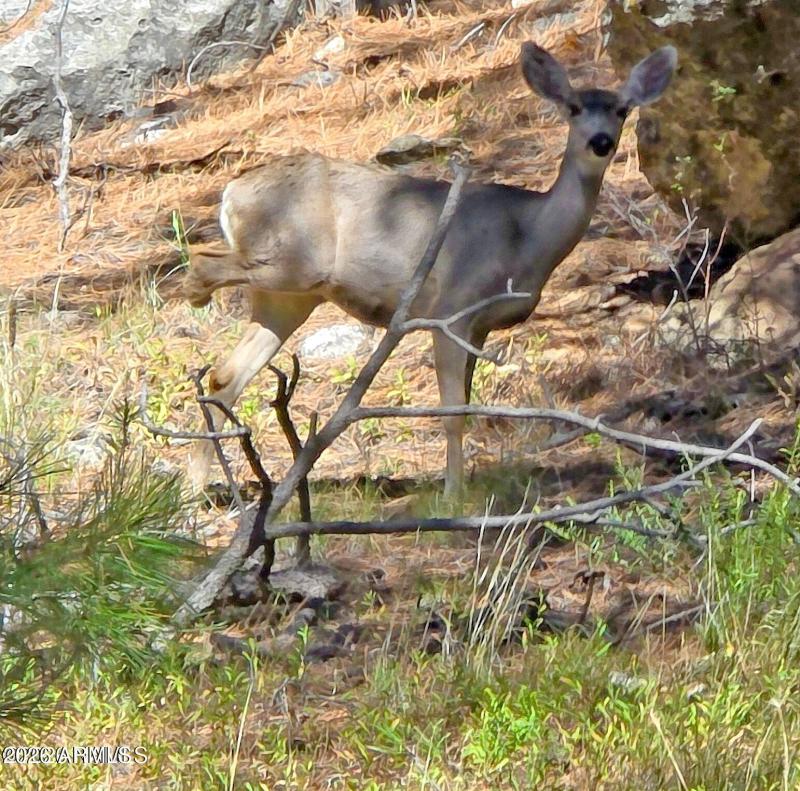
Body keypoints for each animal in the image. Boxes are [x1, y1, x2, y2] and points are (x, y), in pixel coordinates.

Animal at [184, 42, 677, 505]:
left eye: (621, 109)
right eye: (573, 107)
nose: (601, 142)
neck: (527, 235)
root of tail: (231, 192)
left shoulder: (479, 327)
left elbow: (467, 403)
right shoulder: (452, 307)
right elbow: (453, 410)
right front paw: (454, 493)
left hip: (290, 297)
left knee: (226, 375)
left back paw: (198, 491)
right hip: (293, 263)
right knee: (203, 263)